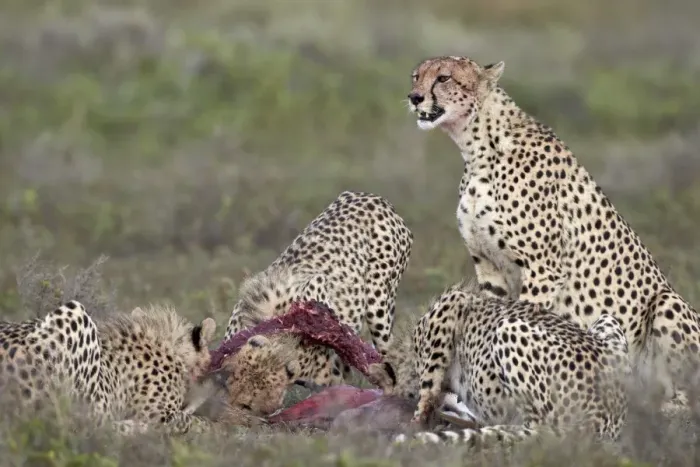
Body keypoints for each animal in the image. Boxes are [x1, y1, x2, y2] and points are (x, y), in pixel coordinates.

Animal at [369, 280, 630, 448]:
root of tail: (612, 417)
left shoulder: (451, 304)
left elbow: (427, 394)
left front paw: (414, 427)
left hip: (509, 327)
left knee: (542, 431)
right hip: (608, 320)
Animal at [405, 54, 700, 412]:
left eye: (444, 78)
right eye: (416, 76)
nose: (414, 97)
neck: (478, 148)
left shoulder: (542, 268)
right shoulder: (488, 266)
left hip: (666, 302)